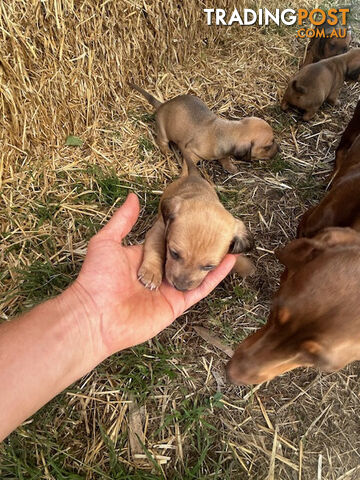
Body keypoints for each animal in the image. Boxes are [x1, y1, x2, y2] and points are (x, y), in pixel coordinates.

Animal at [129, 83, 278, 173]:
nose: (280, 149)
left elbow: (225, 158)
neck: (227, 131)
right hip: (163, 131)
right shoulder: (190, 152)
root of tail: (161, 105)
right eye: (267, 146)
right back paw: (167, 151)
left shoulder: (223, 153)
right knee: (161, 142)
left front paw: (230, 167)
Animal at [138, 158, 253, 292]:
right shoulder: (160, 228)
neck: (201, 197)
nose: (180, 288)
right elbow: (155, 246)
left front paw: (244, 265)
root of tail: (193, 175)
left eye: (209, 267)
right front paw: (151, 273)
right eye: (174, 253)